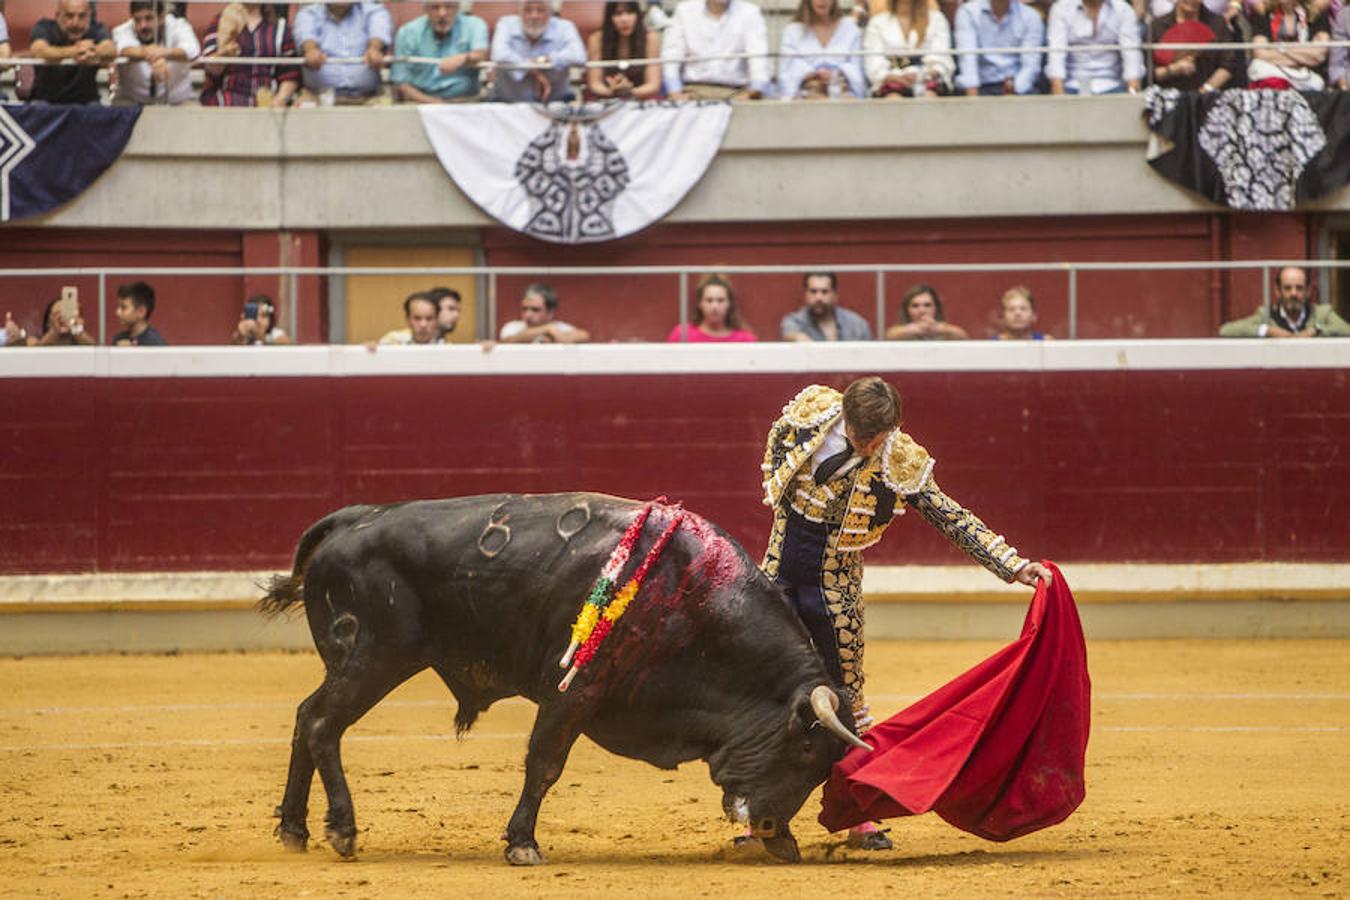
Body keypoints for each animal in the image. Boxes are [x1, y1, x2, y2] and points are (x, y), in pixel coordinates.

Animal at [257, 493, 869, 863]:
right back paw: (341, 829)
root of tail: (354, 518)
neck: (691, 599)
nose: (772, 832)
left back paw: (294, 831)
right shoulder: (572, 689)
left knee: (304, 718)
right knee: (322, 723)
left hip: (357, 661)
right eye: (805, 753)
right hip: (375, 655)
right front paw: (522, 844)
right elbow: (545, 763)